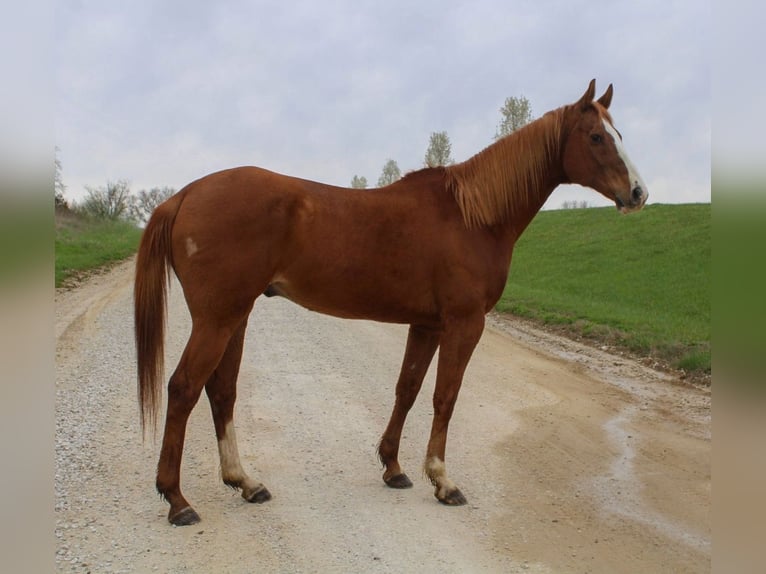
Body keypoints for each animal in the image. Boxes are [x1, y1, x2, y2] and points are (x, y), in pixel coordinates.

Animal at [134, 80, 647, 526]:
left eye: (619, 134)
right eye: (597, 136)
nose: (639, 193)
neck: (473, 216)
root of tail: (184, 195)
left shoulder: (427, 325)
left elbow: (408, 388)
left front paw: (394, 468)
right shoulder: (464, 323)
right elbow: (445, 396)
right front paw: (442, 481)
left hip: (235, 316)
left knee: (221, 392)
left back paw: (246, 482)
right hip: (217, 319)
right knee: (183, 388)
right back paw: (177, 500)